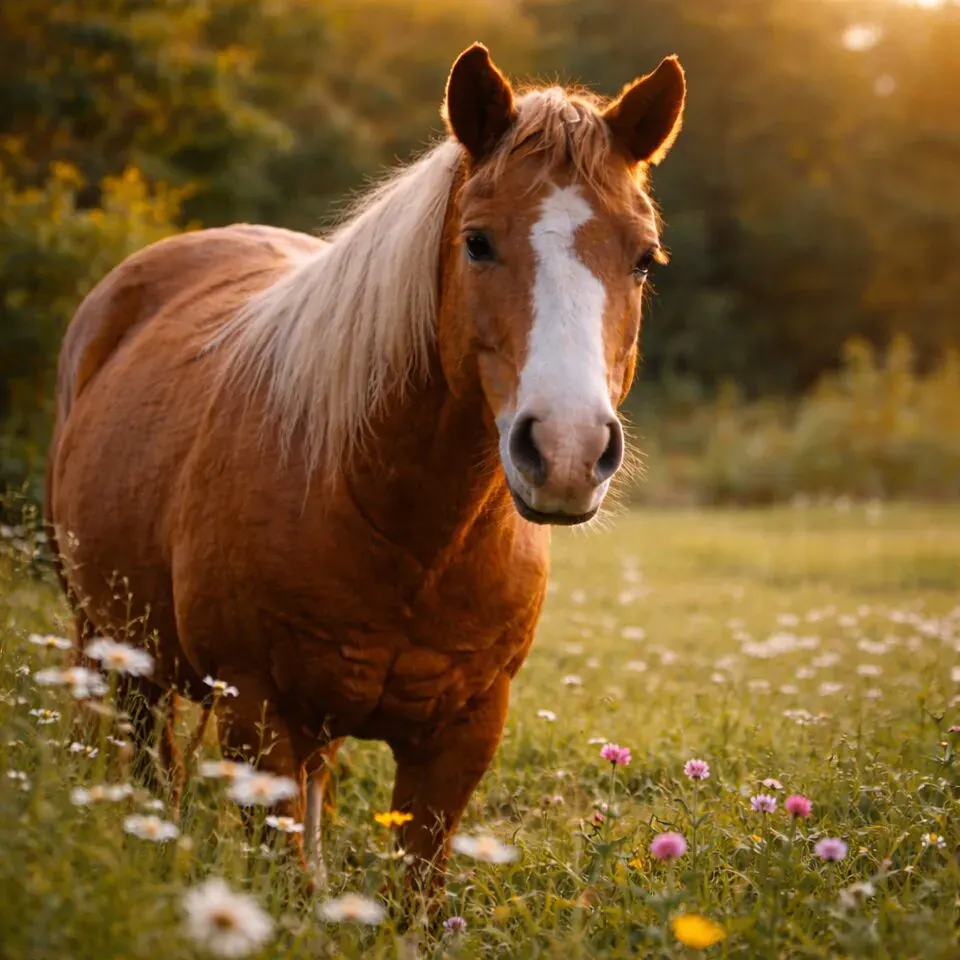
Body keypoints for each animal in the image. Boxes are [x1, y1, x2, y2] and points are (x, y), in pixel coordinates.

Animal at [45, 43, 686, 899]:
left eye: (643, 259)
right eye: (478, 241)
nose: (567, 451)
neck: (406, 531)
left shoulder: (462, 734)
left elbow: (414, 893)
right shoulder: (258, 712)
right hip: (116, 648)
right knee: (150, 766)